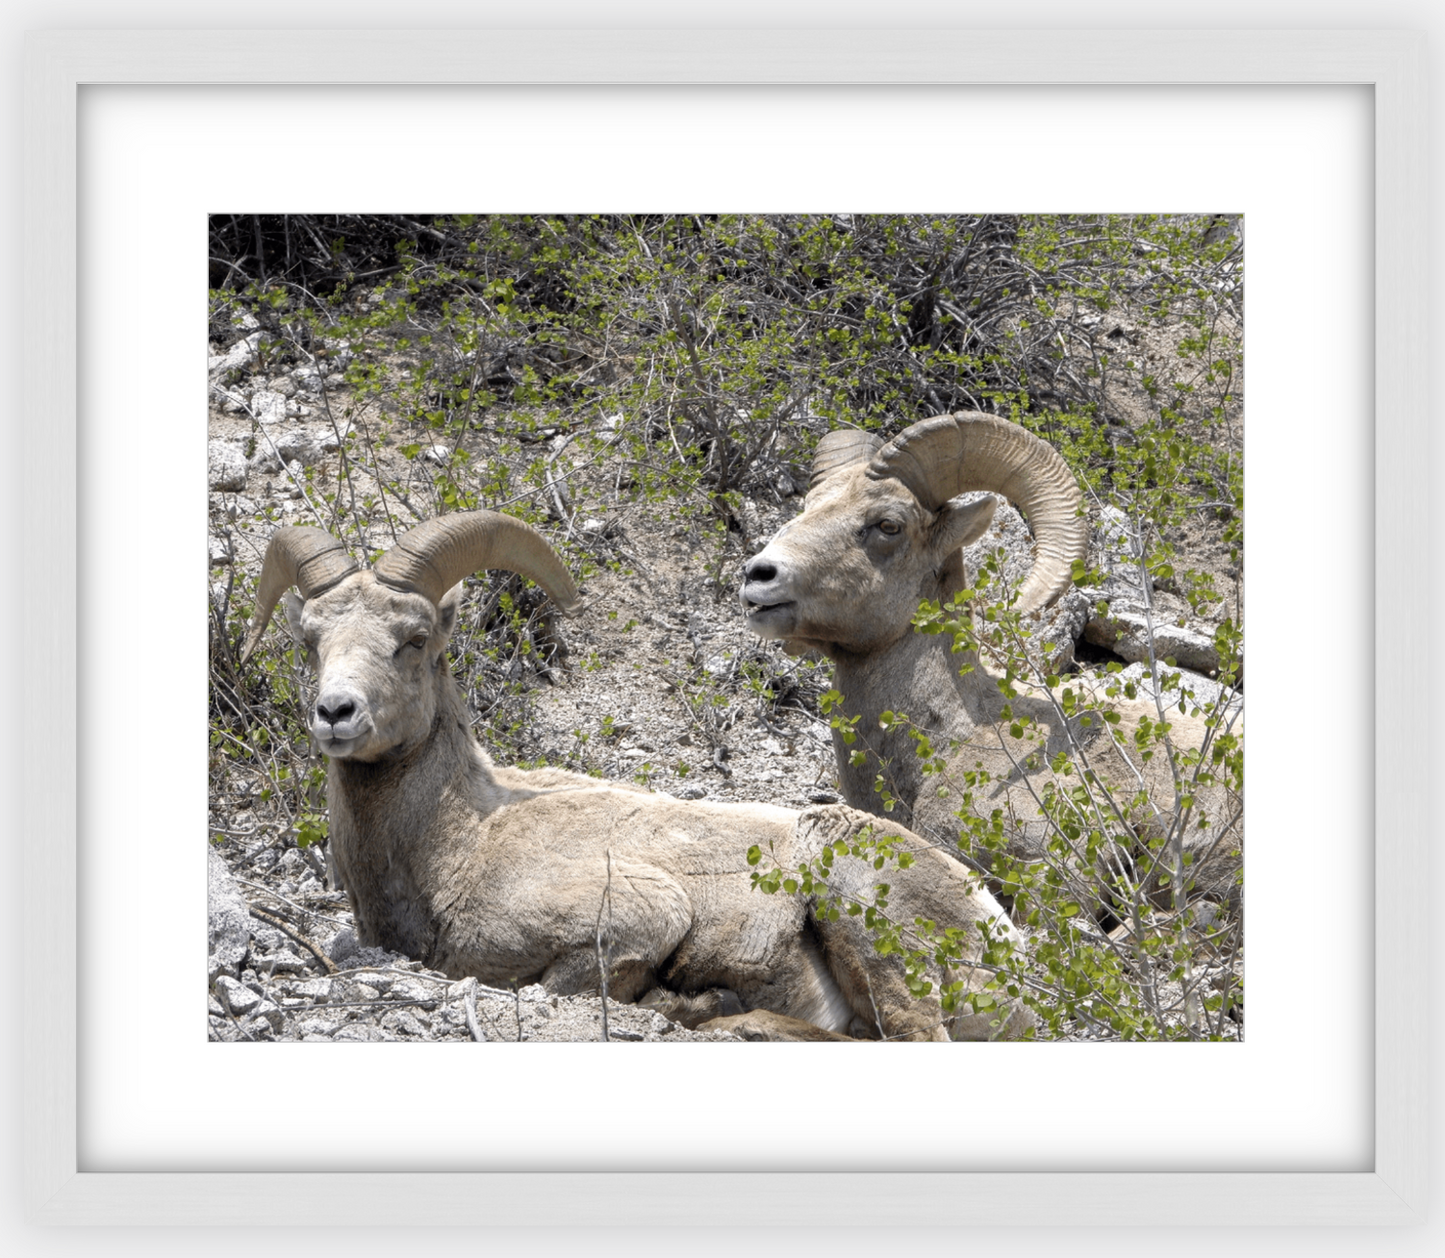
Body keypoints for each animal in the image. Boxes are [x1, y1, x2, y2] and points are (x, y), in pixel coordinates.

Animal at [236, 511, 1028, 1045]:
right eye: (310, 640)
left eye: (415, 638)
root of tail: (1000, 933)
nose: (335, 713)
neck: (459, 846)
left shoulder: (637, 920)